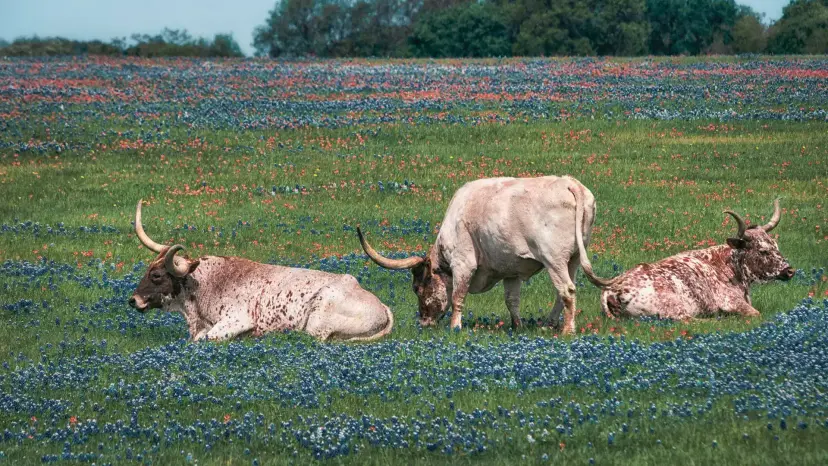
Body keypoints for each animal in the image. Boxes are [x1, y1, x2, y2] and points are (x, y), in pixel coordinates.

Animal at [356, 176, 598, 334]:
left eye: (417, 288)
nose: (423, 323)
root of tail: (569, 183)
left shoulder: (463, 263)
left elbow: (457, 297)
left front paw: (455, 327)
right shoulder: (512, 271)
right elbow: (512, 301)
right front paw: (517, 326)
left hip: (553, 259)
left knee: (566, 290)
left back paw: (567, 330)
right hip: (573, 259)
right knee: (563, 292)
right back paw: (549, 324)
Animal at [571, 193, 795, 320]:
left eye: (776, 245)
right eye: (762, 250)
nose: (790, 270)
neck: (726, 266)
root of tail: (613, 289)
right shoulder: (733, 303)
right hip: (675, 308)